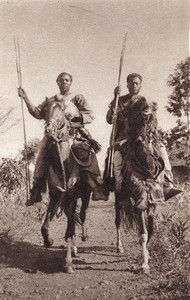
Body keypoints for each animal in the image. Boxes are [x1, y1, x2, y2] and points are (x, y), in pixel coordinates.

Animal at [40, 97, 99, 274]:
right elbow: (45, 227)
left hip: (84, 196)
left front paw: (69, 264)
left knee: (83, 214)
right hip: (66, 202)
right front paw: (49, 241)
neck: (64, 167)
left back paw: (83, 236)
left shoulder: (72, 197)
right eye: (45, 110)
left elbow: (70, 229)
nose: (49, 129)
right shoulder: (55, 197)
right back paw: (73, 248)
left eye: (63, 112)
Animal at [114, 95, 165, 274]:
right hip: (118, 197)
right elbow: (142, 233)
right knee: (117, 220)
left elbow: (150, 229)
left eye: (152, 102)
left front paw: (147, 256)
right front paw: (144, 264)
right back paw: (119, 246)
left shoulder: (153, 201)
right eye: (141, 100)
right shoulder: (139, 199)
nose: (148, 105)